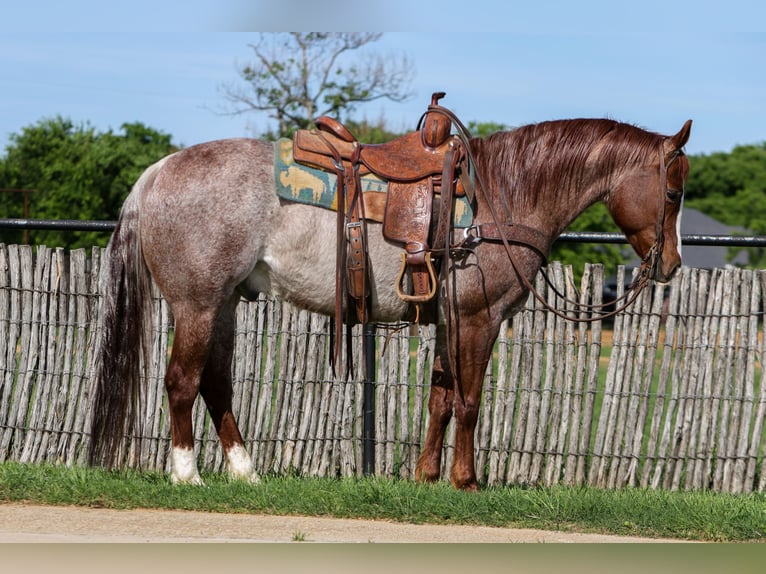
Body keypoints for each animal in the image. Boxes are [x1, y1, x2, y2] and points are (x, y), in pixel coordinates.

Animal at [88, 115, 691, 491]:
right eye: (672, 191)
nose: (671, 264)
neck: (502, 198)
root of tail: (157, 173)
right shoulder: (479, 319)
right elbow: (469, 402)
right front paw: (466, 481)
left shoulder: (450, 321)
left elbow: (441, 400)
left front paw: (427, 477)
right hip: (197, 303)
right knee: (182, 382)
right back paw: (186, 473)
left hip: (225, 305)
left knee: (215, 384)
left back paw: (245, 471)